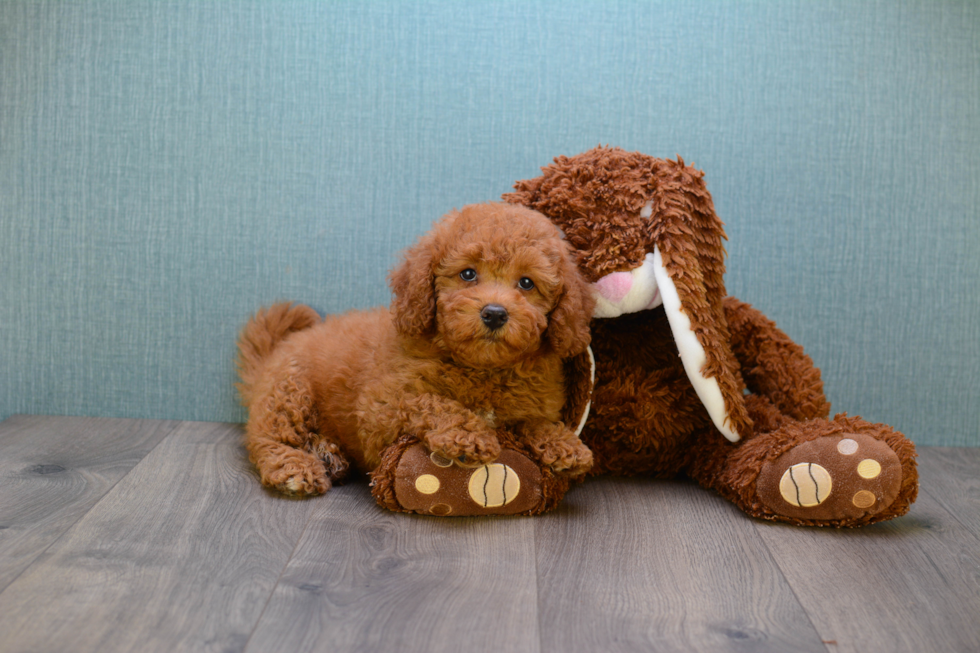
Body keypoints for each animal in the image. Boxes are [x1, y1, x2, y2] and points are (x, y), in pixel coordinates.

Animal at [235, 202, 596, 494]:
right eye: (468, 274)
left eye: (526, 283)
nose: (494, 313)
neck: (482, 369)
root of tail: (275, 352)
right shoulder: (381, 410)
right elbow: (430, 402)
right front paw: (468, 434)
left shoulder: (533, 402)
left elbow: (531, 421)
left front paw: (564, 444)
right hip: (289, 393)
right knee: (268, 440)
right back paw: (296, 469)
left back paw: (329, 453)